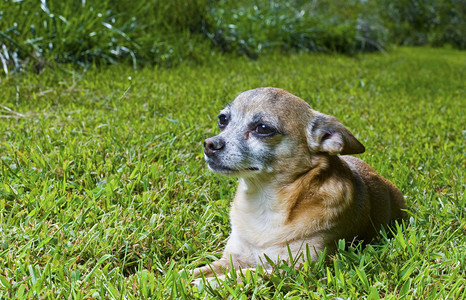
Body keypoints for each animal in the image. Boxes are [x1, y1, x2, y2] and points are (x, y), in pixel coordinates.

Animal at [192, 86, 404, 282]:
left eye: (263, 128)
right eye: (222, 119)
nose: (209, 144)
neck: (263, 201)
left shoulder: (294, 269)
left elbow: (247, 274)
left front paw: (208, 283)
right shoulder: (233, 258)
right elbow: (200, 270)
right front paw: (189, 277)